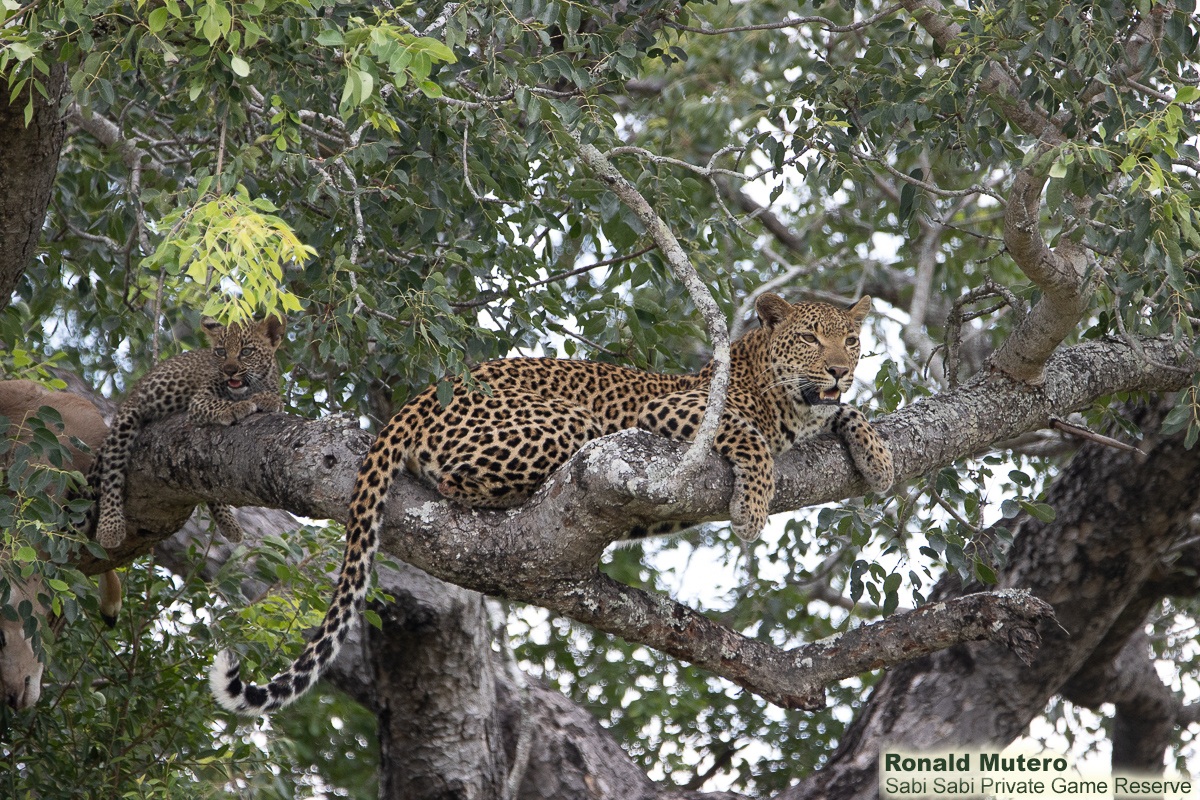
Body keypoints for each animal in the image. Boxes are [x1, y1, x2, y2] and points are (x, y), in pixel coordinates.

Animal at [90, 316, 286, 550]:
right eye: (220, 352)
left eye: (246, 351)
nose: (229, 370)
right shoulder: (200, 401)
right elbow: (221, 404)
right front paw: (239, 406)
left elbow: (274, 399)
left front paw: (267, 399)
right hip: (127, 418)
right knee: (112, 471)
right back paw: (110, 527)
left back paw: (229, 524)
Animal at [210, 292, 895, 716]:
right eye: (810, 338)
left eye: (851, 340)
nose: (839, 369)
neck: (792, 406)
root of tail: (417, 399)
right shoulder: (674, 410)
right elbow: (749, 435)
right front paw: (753, 505)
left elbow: (853, 413)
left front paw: (879, 458)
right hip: (565, 426)